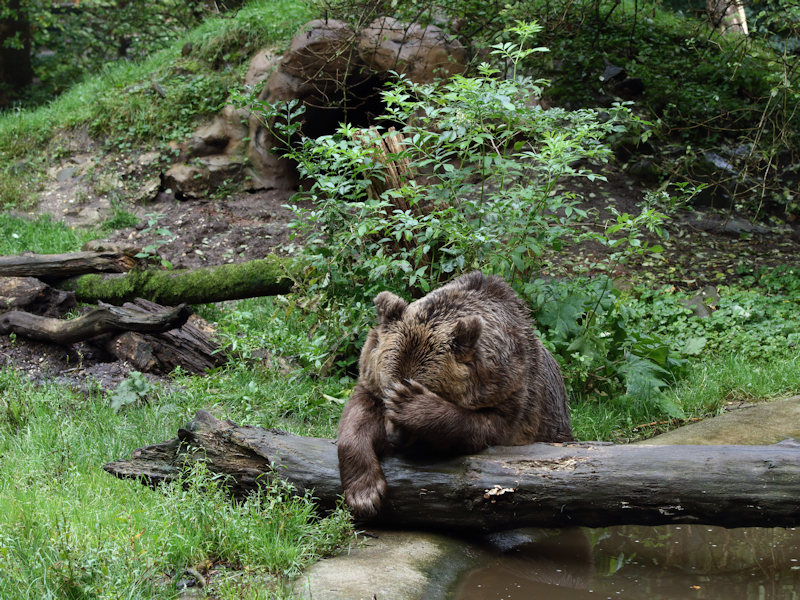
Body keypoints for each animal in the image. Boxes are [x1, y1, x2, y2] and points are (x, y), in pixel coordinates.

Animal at [334, 270, 572, 516]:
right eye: (386, 390)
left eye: (425, 388)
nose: (394, 437)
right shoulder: (369, 375)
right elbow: (357, 417)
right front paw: (365, 495)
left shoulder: (512, 391)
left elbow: (484, 427)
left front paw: (414, 406)